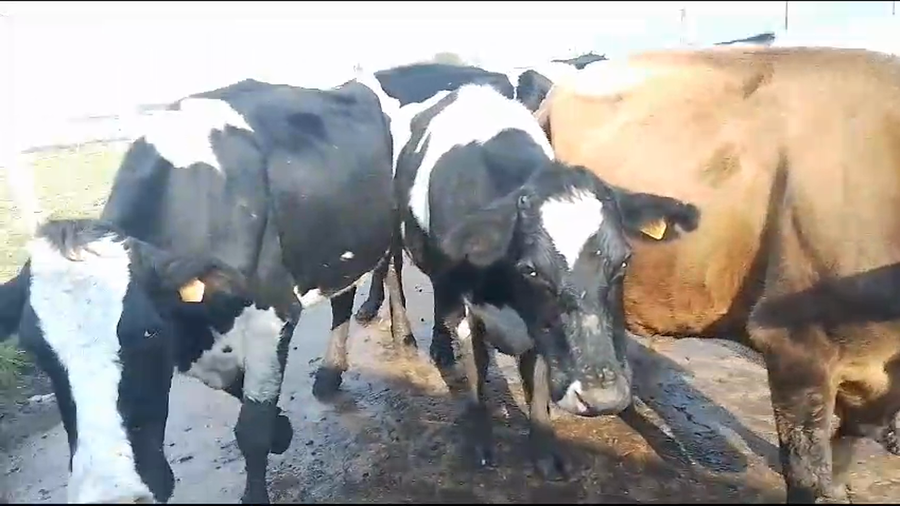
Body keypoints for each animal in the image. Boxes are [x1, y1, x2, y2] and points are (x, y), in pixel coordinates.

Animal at [0, 73, 412, 504]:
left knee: (392, 266)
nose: (113, 493)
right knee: (344, 293)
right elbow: (241, 394)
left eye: (148, 334)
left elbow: (252, 429)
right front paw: (282, 429)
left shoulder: (273, 312)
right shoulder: (189, 334)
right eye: (37, 351)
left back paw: (401, 332)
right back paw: (332, 371)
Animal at [392, 83, 701, 478]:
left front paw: (544, 447)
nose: (603, 397)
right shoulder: (466, 308)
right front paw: (478, 437)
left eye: (624, 261)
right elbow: (477, 368)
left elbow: (537, 379)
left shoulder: (540, 327)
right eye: (532, 269)